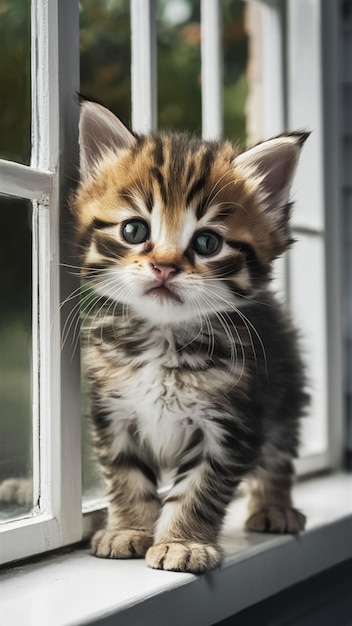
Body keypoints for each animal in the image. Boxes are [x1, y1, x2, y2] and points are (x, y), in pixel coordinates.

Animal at [73, 100, 308, 572]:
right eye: (134, 230)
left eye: (207, 242)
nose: (164, 266)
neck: (162, 337)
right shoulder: (113, 412)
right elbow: (125, 475)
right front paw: (128, 530)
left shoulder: (231, 422)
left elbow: (198, 489)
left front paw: (182, 542)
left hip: (286, 390)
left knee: (279, 453)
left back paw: (274, 507)